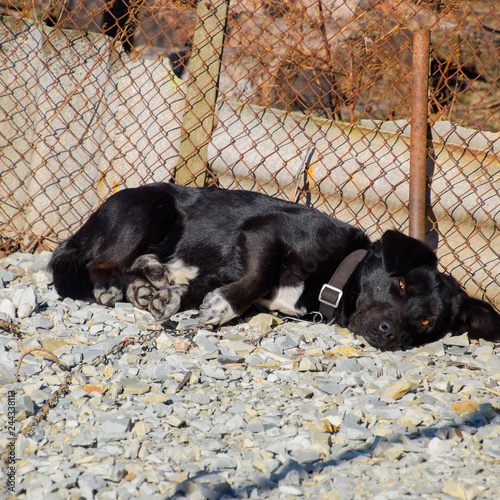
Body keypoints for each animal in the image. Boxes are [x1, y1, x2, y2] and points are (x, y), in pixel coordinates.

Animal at [47, 182, 500, 350]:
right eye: (402, 285)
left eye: (425, 323)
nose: (392, 334)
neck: (333, 279)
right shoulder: (265, 230)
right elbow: (259, 274)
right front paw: (221, 309)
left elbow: (196, 290)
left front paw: (176, 298)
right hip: (149, 210)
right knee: (101, 262)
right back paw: (112, 285)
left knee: (137, 266)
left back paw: (152, 282)